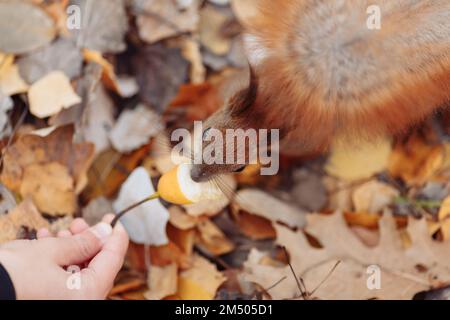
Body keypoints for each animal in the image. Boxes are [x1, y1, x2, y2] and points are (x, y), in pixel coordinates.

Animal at [188, 0, 448, 182]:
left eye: (240, 167)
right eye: (207, 132)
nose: (194, 176)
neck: (276, 105)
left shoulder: (301, 142)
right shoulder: (231, 86)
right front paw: (191, 108)